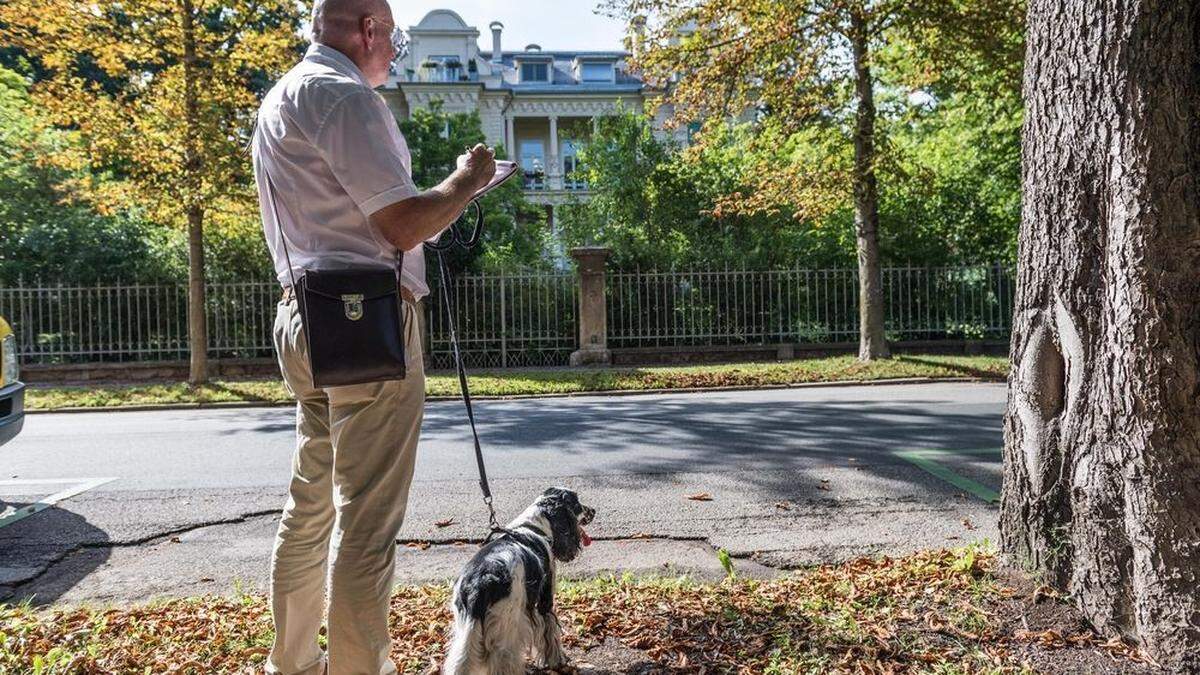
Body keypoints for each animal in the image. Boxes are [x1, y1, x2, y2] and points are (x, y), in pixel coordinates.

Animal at [446, 485, 595, 667]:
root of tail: (478, 583)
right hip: (505, 628)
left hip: (466, 631)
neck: (533, 527)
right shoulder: (545, 600)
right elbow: (551, 633)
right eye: (577, 503)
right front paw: (556, 661)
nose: (593, 511)